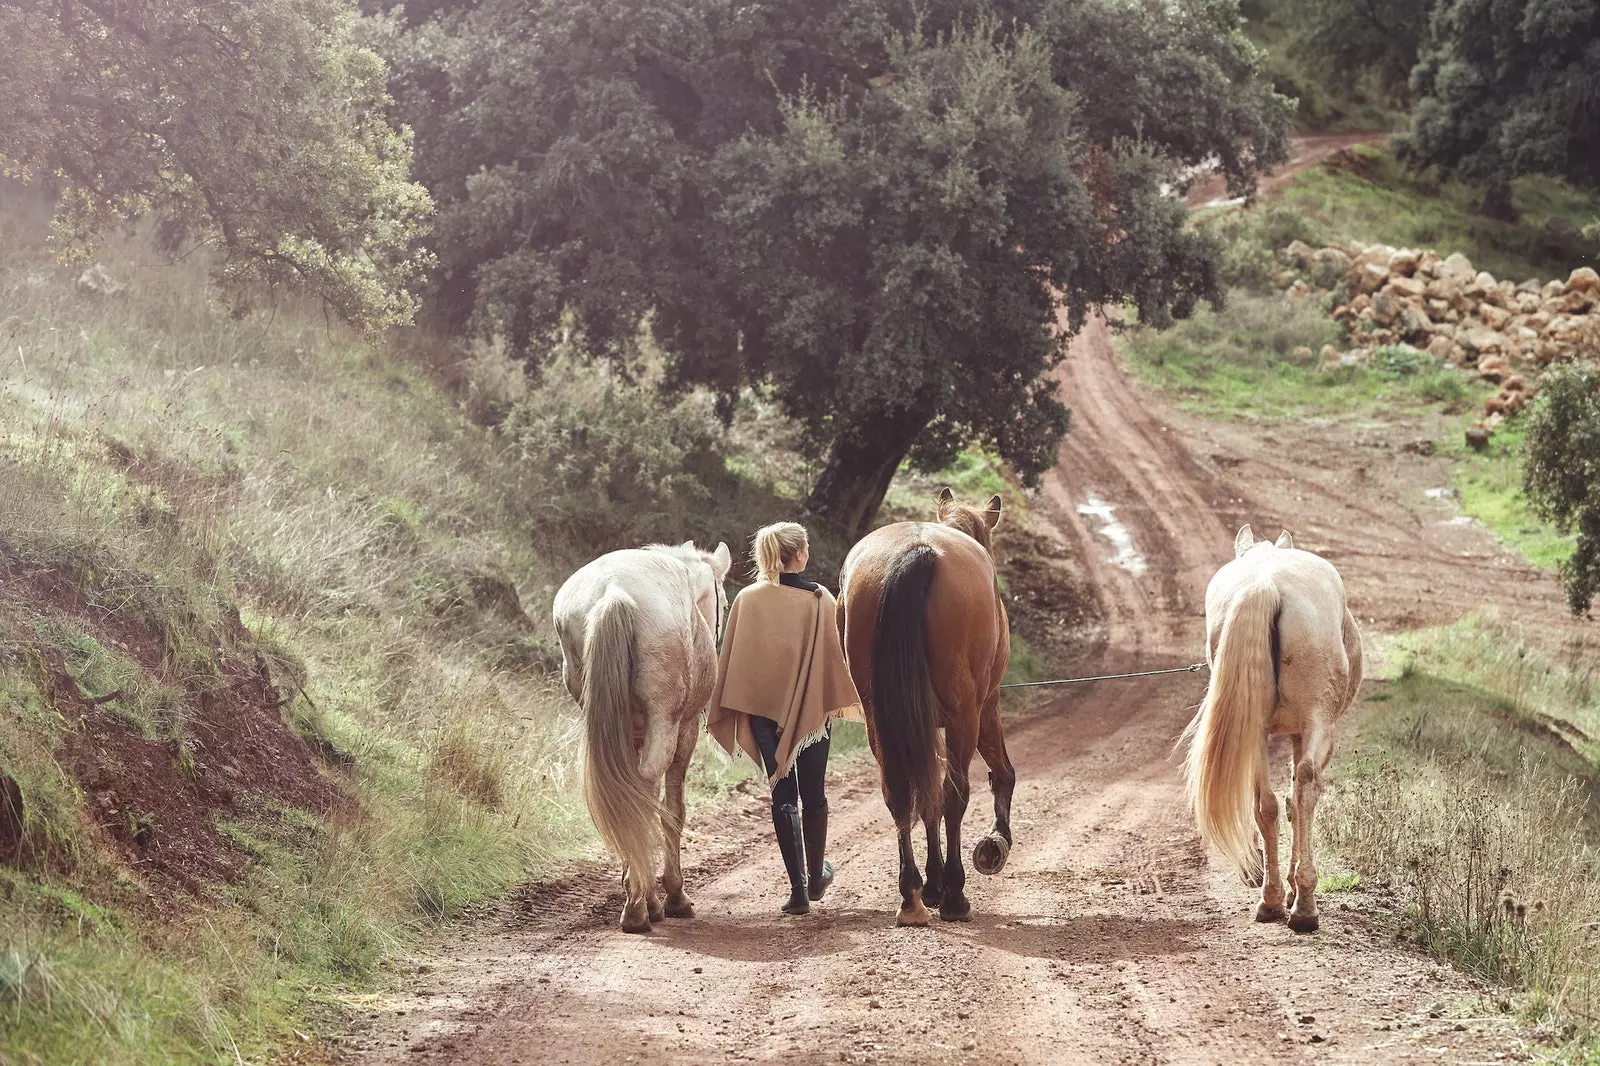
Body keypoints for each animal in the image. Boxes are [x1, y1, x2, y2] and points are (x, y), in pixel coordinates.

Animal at [547, 541, 729, 928]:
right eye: (721, 602)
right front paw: (674, 896)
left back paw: (638, 898)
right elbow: (673, 809)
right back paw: (643, 905)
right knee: (646, 794)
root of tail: (614, 591)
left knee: (628, 795)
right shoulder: (683, 732)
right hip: (666, 724)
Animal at [838, 486, 1011, 921]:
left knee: (899, 792)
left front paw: (931, 883)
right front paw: (995, 844)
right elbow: (1002, 774)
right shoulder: (986, 708)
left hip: (880, 720)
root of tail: (917, 551)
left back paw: (912, 894)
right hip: (966, 715)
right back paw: (954, 896)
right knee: (954, 793)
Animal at [1177, 521, 1363, 928]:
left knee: (1265, 803)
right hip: (1316, 721)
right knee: (1304, 788)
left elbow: (1278, 804)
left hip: (1256, 730)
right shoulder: (1310, 734)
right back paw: (1304, 906)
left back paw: (1271, 900)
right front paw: (1297, 890)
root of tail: (1266, 584)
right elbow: (1298, 798)